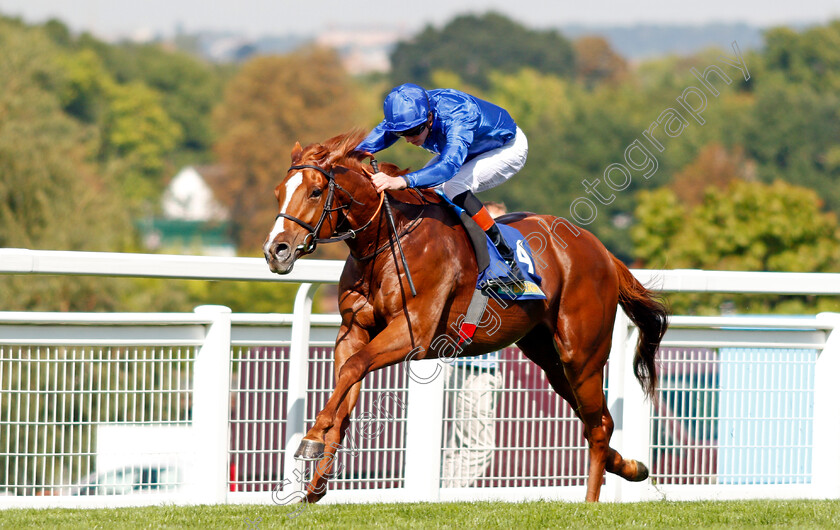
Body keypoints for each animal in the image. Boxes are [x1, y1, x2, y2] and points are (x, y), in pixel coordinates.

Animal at [262, 130, 668, 502]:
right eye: (279, 192)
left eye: (316, 192)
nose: (275, 250)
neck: (388, 240)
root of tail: (602, 250)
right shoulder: (354, 330)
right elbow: (347, 387)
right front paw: (316, 483)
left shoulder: (414, 334)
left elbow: (353, 369)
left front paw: (311, 438)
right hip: (549, 359)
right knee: (598, 421)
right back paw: (631, 466)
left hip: (582, 356)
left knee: (597, 427)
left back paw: (590, 501)